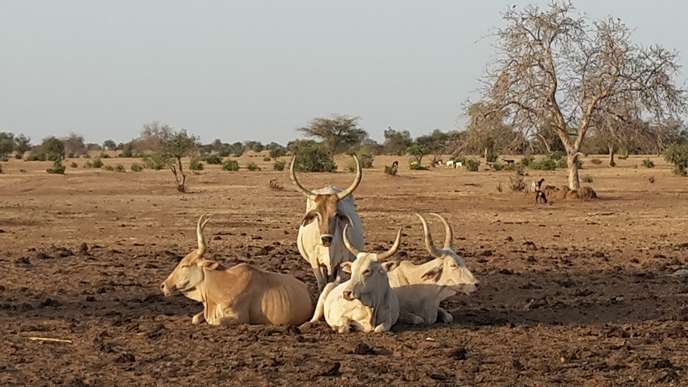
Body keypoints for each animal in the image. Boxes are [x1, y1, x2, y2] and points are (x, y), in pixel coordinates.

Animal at [160, 215, 314, 328]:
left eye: (185, 265)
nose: (163, 285)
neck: (223, 283)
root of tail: (305, 288)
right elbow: (195, 318)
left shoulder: (239, 317)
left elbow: (215, 321)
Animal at [290, 153, 366, 292]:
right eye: (317, 215)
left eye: (336, 215)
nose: (326, 239)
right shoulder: (315, 262)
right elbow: (321, 284)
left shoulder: (341, 262)